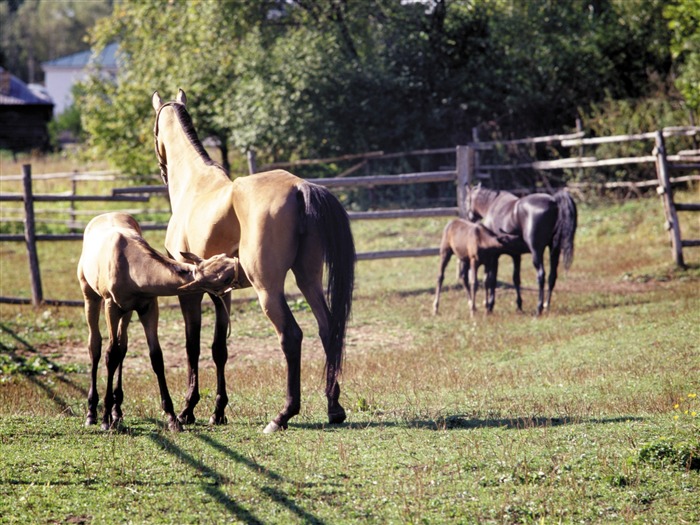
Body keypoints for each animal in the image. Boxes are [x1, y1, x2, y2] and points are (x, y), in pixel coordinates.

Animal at [77, 211, 241, 432]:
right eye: (224, 277)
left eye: (223, 257)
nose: (239, 264)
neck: (130, 265)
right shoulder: (112, 307)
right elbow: (110, 355)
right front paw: (104, 419)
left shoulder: (148, 307)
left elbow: (156, 357)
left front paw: (172, 417)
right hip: (91, 297)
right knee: (95, 346)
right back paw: (92, 412)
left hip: (127, 313)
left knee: (123, 347)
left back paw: (117, 411)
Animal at [150, 88, 352, 432]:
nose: (162, 170)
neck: (196, 186)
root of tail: (299, 187)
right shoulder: (223, 293)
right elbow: (219, 349)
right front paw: (218, 411)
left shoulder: (190, 293)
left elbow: (193, 347)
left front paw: (188, 409)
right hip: (308, 279)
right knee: (328, 329)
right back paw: (334, 407)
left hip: (268, 291)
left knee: (292, 336)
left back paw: (283, 415)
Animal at [468, 184, 576, 316]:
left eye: (468, 199)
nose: (470, 217)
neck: (492, 204)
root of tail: (554, 201)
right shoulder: (516, 255)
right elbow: (516, 279)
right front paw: (519, 306)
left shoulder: (495, 256)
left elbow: (491, 280)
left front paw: (490, 306)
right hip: (554, 250)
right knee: (552, 276)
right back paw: (546, 306)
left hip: (536, 252)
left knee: (541, 275)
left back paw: (539, 308)